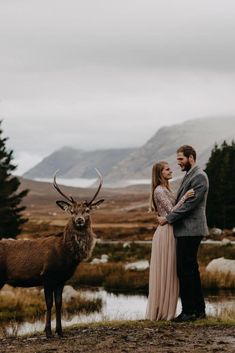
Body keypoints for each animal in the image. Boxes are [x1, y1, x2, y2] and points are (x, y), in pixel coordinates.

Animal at [0, 169, 103, 336]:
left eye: (87, 211)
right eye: (72, 211)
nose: (79, 220)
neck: (66, 255)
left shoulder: (61, 279)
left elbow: (59, 303)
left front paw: (60, 331)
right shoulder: (47, 276)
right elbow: (49, 304)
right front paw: (47, 331)